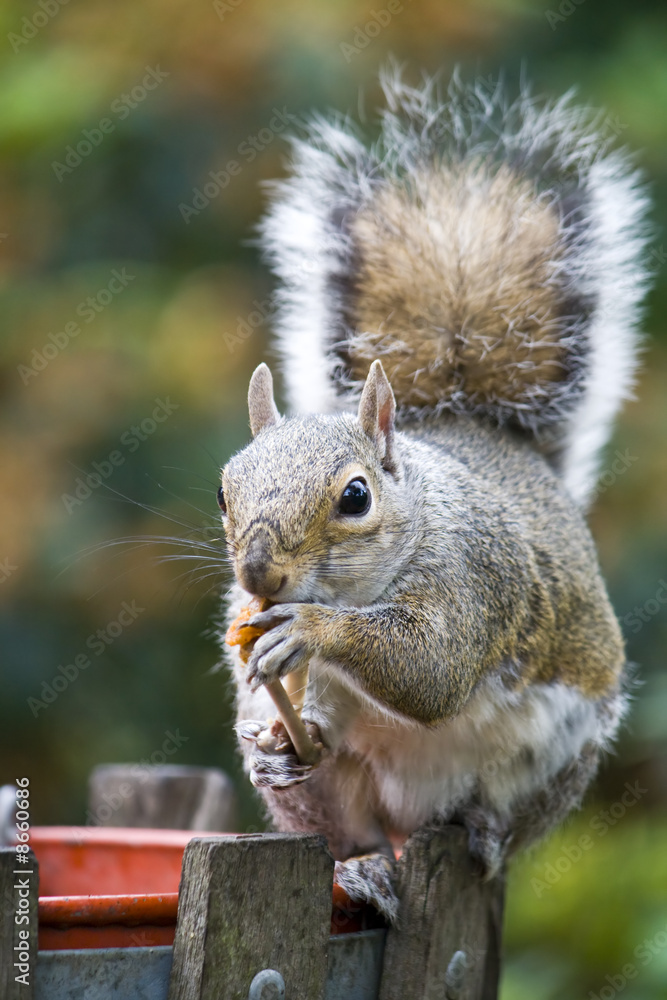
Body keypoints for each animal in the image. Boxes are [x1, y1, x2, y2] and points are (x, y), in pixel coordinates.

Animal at [217, 70, 650, 922]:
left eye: (355, 497)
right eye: (225, 491)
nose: (257, 575)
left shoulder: (474, 580)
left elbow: (431, 670)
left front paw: (311, 629)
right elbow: (324, 705)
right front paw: (288, 729)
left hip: (553, 762)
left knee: (492, 821)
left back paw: (479, 831)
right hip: (339, 810)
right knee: (346, 833)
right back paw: (349, 855)